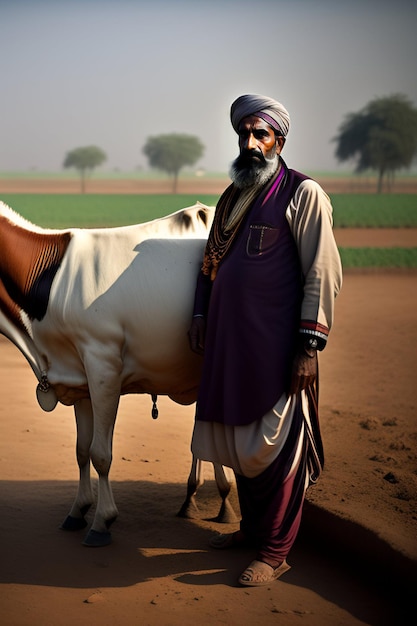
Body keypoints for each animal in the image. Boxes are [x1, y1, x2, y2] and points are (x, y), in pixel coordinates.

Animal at [0, 202, 236, 544]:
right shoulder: (79, 376)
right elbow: (81, 450)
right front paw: (78, 510)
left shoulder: (103, 365)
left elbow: (101, 454)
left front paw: (102, 521)